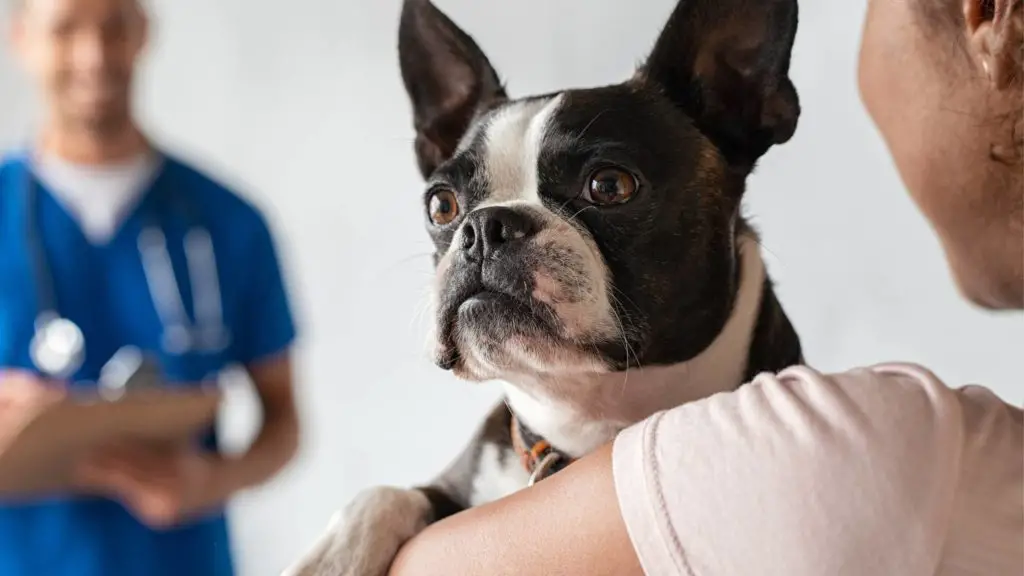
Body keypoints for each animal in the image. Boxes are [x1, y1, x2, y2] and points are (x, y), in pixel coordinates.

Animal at [286, 1, 798, 569]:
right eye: (441, 204)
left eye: (610, 185)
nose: (484, 227)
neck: (581, 420)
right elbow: (384, 493)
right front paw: (330, 559)